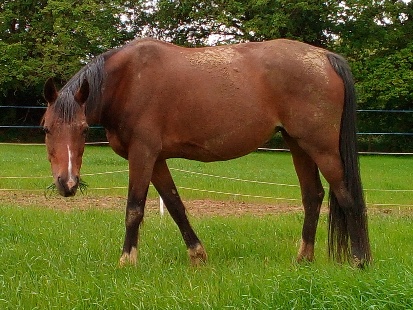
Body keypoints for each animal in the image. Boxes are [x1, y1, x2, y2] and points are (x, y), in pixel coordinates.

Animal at [43, 38, 372, 266]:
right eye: (46, 129)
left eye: (84, 130)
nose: (67, 184)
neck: (128, 80)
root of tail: (325, 57)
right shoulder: (157, 159)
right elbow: (175, 206)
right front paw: (197, 255)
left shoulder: (143, 155)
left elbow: (134, 209)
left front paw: (126, 261)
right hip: (298, 144)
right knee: (313, 196)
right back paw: (304, 258)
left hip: (322, 148)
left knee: (346, 195)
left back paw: (359, 261)